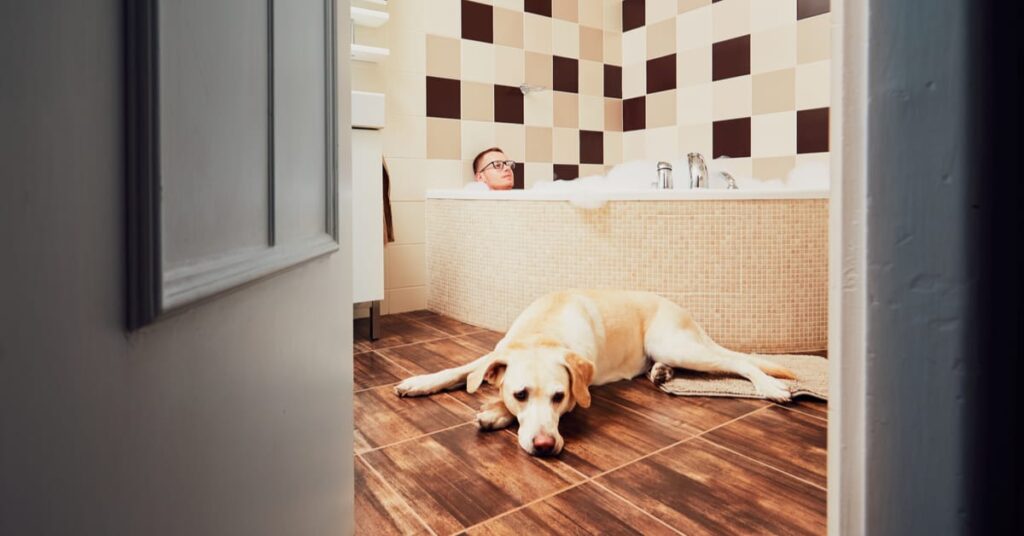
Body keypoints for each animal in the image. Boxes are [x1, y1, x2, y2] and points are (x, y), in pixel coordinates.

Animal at [391, 289, 790, 457]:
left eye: (560, 398)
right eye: (520, 394)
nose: (545, 446)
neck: (543, 331)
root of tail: (684, 310)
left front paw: (493, 412)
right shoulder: (494, 354)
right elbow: (459, 369)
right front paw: (419, 382)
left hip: (675, 343)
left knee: (740, 362)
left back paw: (770, 386)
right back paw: (660, 373)